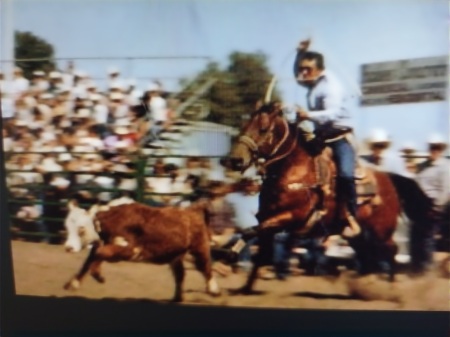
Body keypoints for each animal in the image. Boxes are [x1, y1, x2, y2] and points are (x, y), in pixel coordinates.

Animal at [62, 198, 221, 300]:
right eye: (67, 226)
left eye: (81, 228)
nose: (68, 248)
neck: (111, 220)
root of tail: (192, 211)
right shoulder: (104, 245)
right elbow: (91, 259)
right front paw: (73, 283)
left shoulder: (130, 250)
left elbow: (99, 254)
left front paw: (99, 276)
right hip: (176, 255)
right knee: (180, 274)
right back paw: (177, 298)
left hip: (199, 248)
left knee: (206, 267)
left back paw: (213, 290)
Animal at [223, 101, 406, 292]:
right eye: (244, 125)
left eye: (263, 128)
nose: (233, 160)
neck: (294, 171)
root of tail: (389, 181)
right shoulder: (266, 219)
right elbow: (258, 247)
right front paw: (245, 287)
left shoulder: (290, 217)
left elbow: (249, 232)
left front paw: (230, 253)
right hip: (360, 235)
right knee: (367, 255)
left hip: (381, 231)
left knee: (391, 251)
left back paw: (391, 289)